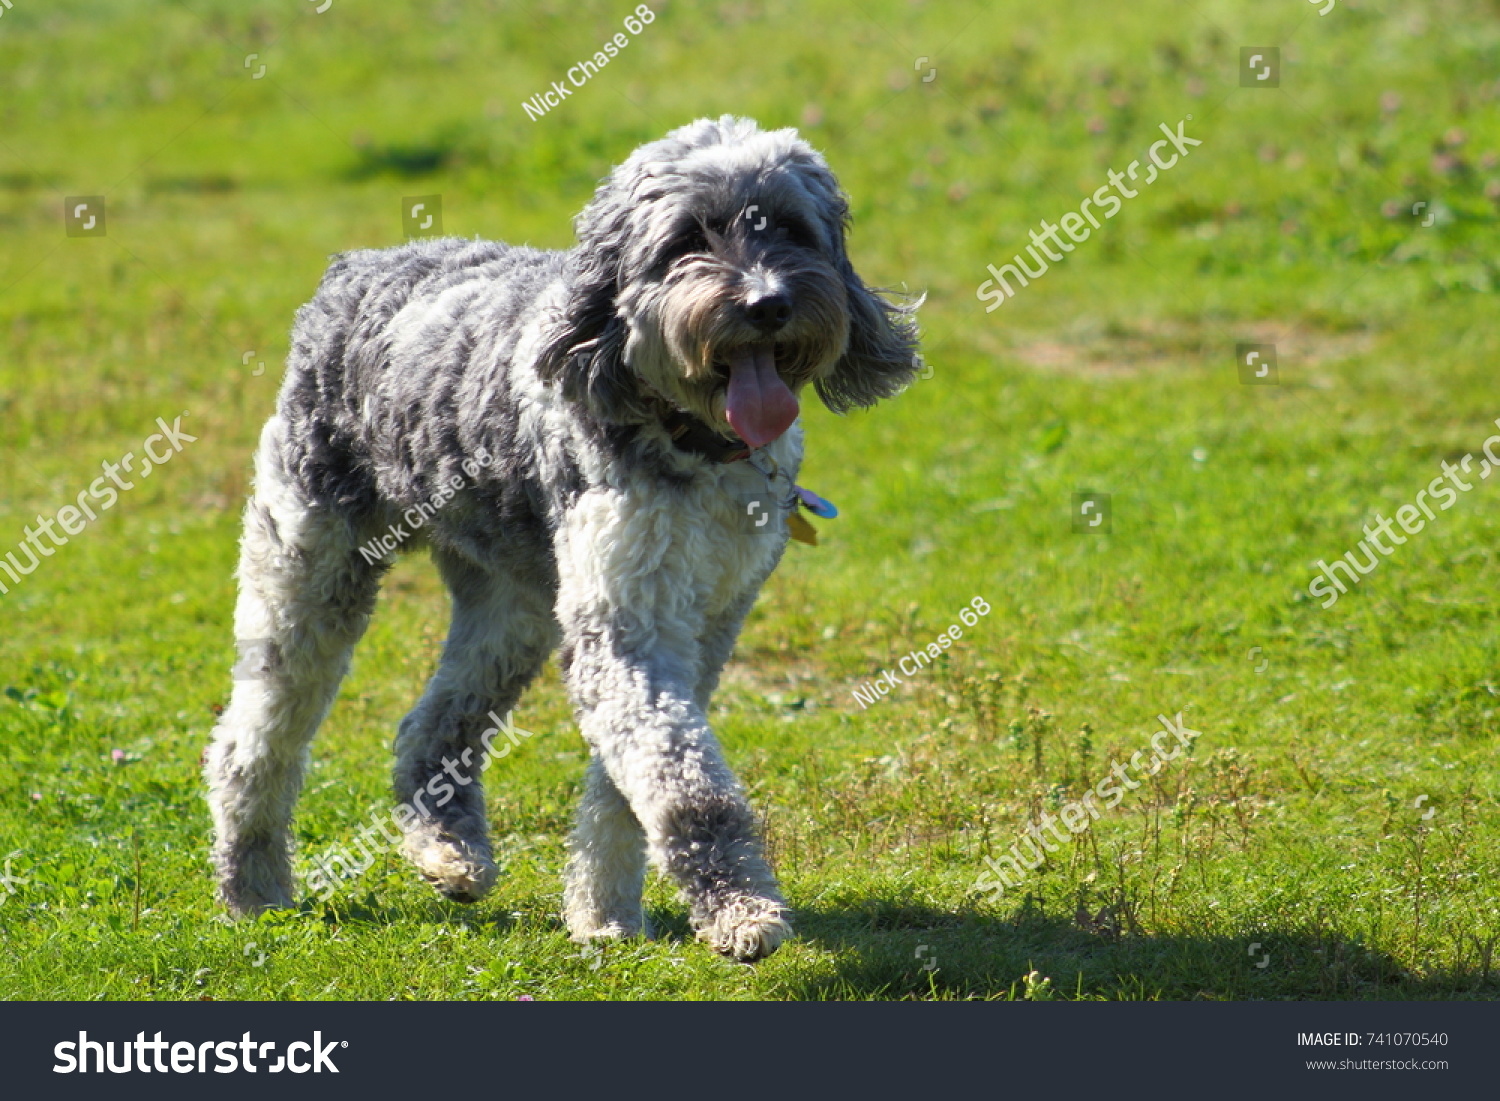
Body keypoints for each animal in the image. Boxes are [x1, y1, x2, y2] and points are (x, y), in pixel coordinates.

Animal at [205, 116, 918, 966]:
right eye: (687, 239)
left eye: (788, 228)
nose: (767, 302)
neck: (690, 441)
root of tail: (355, 269)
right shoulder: (626, 627)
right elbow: (683, 782)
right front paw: (739, 906)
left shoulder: (701, 625)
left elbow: (629, 782)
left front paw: (605, 914)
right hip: (308, 570)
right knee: (252, 740)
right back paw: (252, 885)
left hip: (511, 612)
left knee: (431, 726)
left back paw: (449, 852)